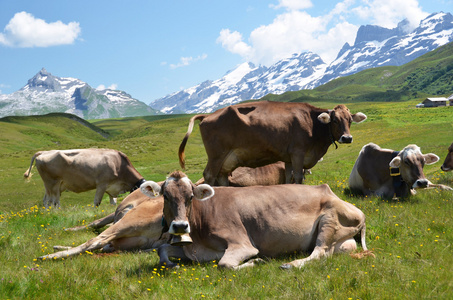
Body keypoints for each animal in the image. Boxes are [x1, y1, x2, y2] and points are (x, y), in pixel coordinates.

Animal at [37, 188, 170, 260]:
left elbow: (96, 223)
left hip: (129, 223)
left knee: (96, 241)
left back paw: (49, 256)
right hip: (137, 239)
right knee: (104, 245)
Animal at [141, 170, 370, 270]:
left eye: (190, 197)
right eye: (165, 196)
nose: (180, 226)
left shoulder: (241, 243)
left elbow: (224, 265)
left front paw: (255, 261)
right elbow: (162, 250)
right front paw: (172, 264)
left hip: (329, 220)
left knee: (320, 252)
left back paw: (291, 264)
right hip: (342, 242)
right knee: (328, 252)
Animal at [178, 101, 366, 185]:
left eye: (350, 120)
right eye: (334, 120)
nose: (347, 138)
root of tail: (208, 114)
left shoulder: (288, 157)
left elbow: (289, 178)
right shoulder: (298, 153)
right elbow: (298, 177)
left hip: (228, 159)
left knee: (222, 176)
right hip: (217, 155)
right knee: (209, 176)